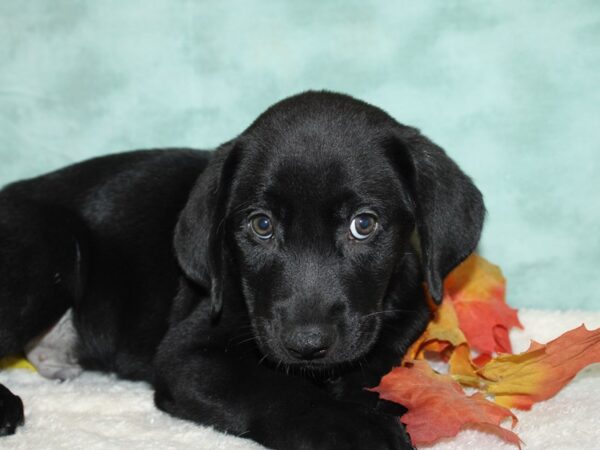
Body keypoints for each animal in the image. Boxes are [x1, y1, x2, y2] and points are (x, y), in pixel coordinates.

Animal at [0, 90, 482, 446]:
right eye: (261, 225)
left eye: (363, 224)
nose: (306, 345)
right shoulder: (188, 355)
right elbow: (276, 388)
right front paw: (353, 428)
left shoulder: (406, 318)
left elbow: (377, 368)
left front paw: (377, 402)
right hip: (53, 246)